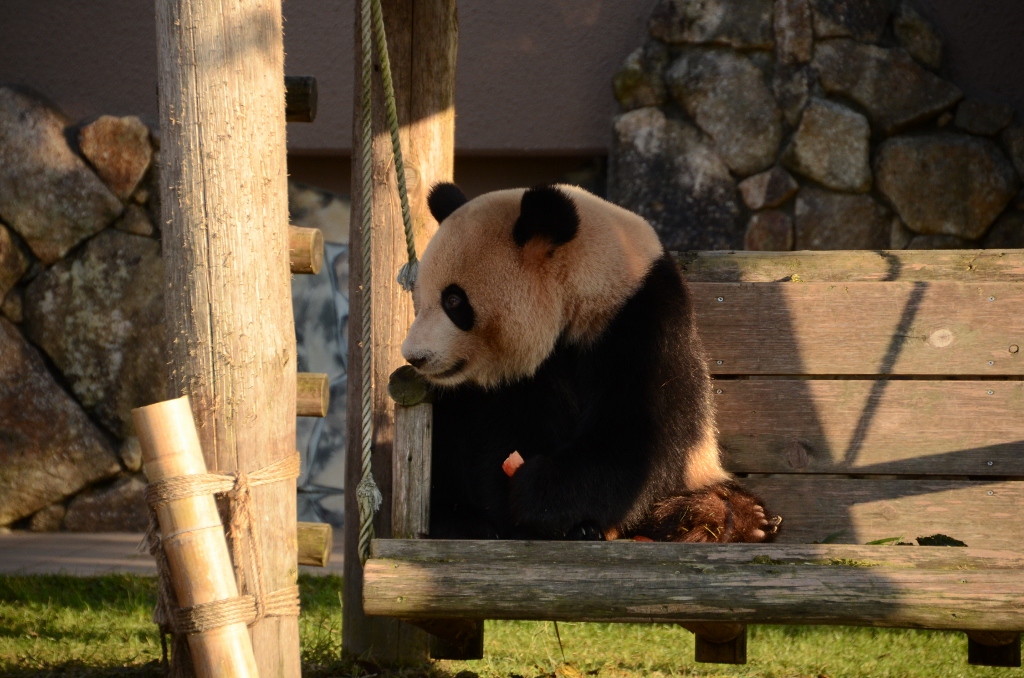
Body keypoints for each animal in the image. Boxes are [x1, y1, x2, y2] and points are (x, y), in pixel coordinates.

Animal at [403, 183, 778, 544]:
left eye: (454, 300)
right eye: (419, 300)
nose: (414, 356)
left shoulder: (640, 318)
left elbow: (636, 431)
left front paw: (539, 493)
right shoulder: (509, 382)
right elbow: (499, 433)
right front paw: (518, 515)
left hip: (700, 472)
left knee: (716, 501)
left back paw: (731, 521)